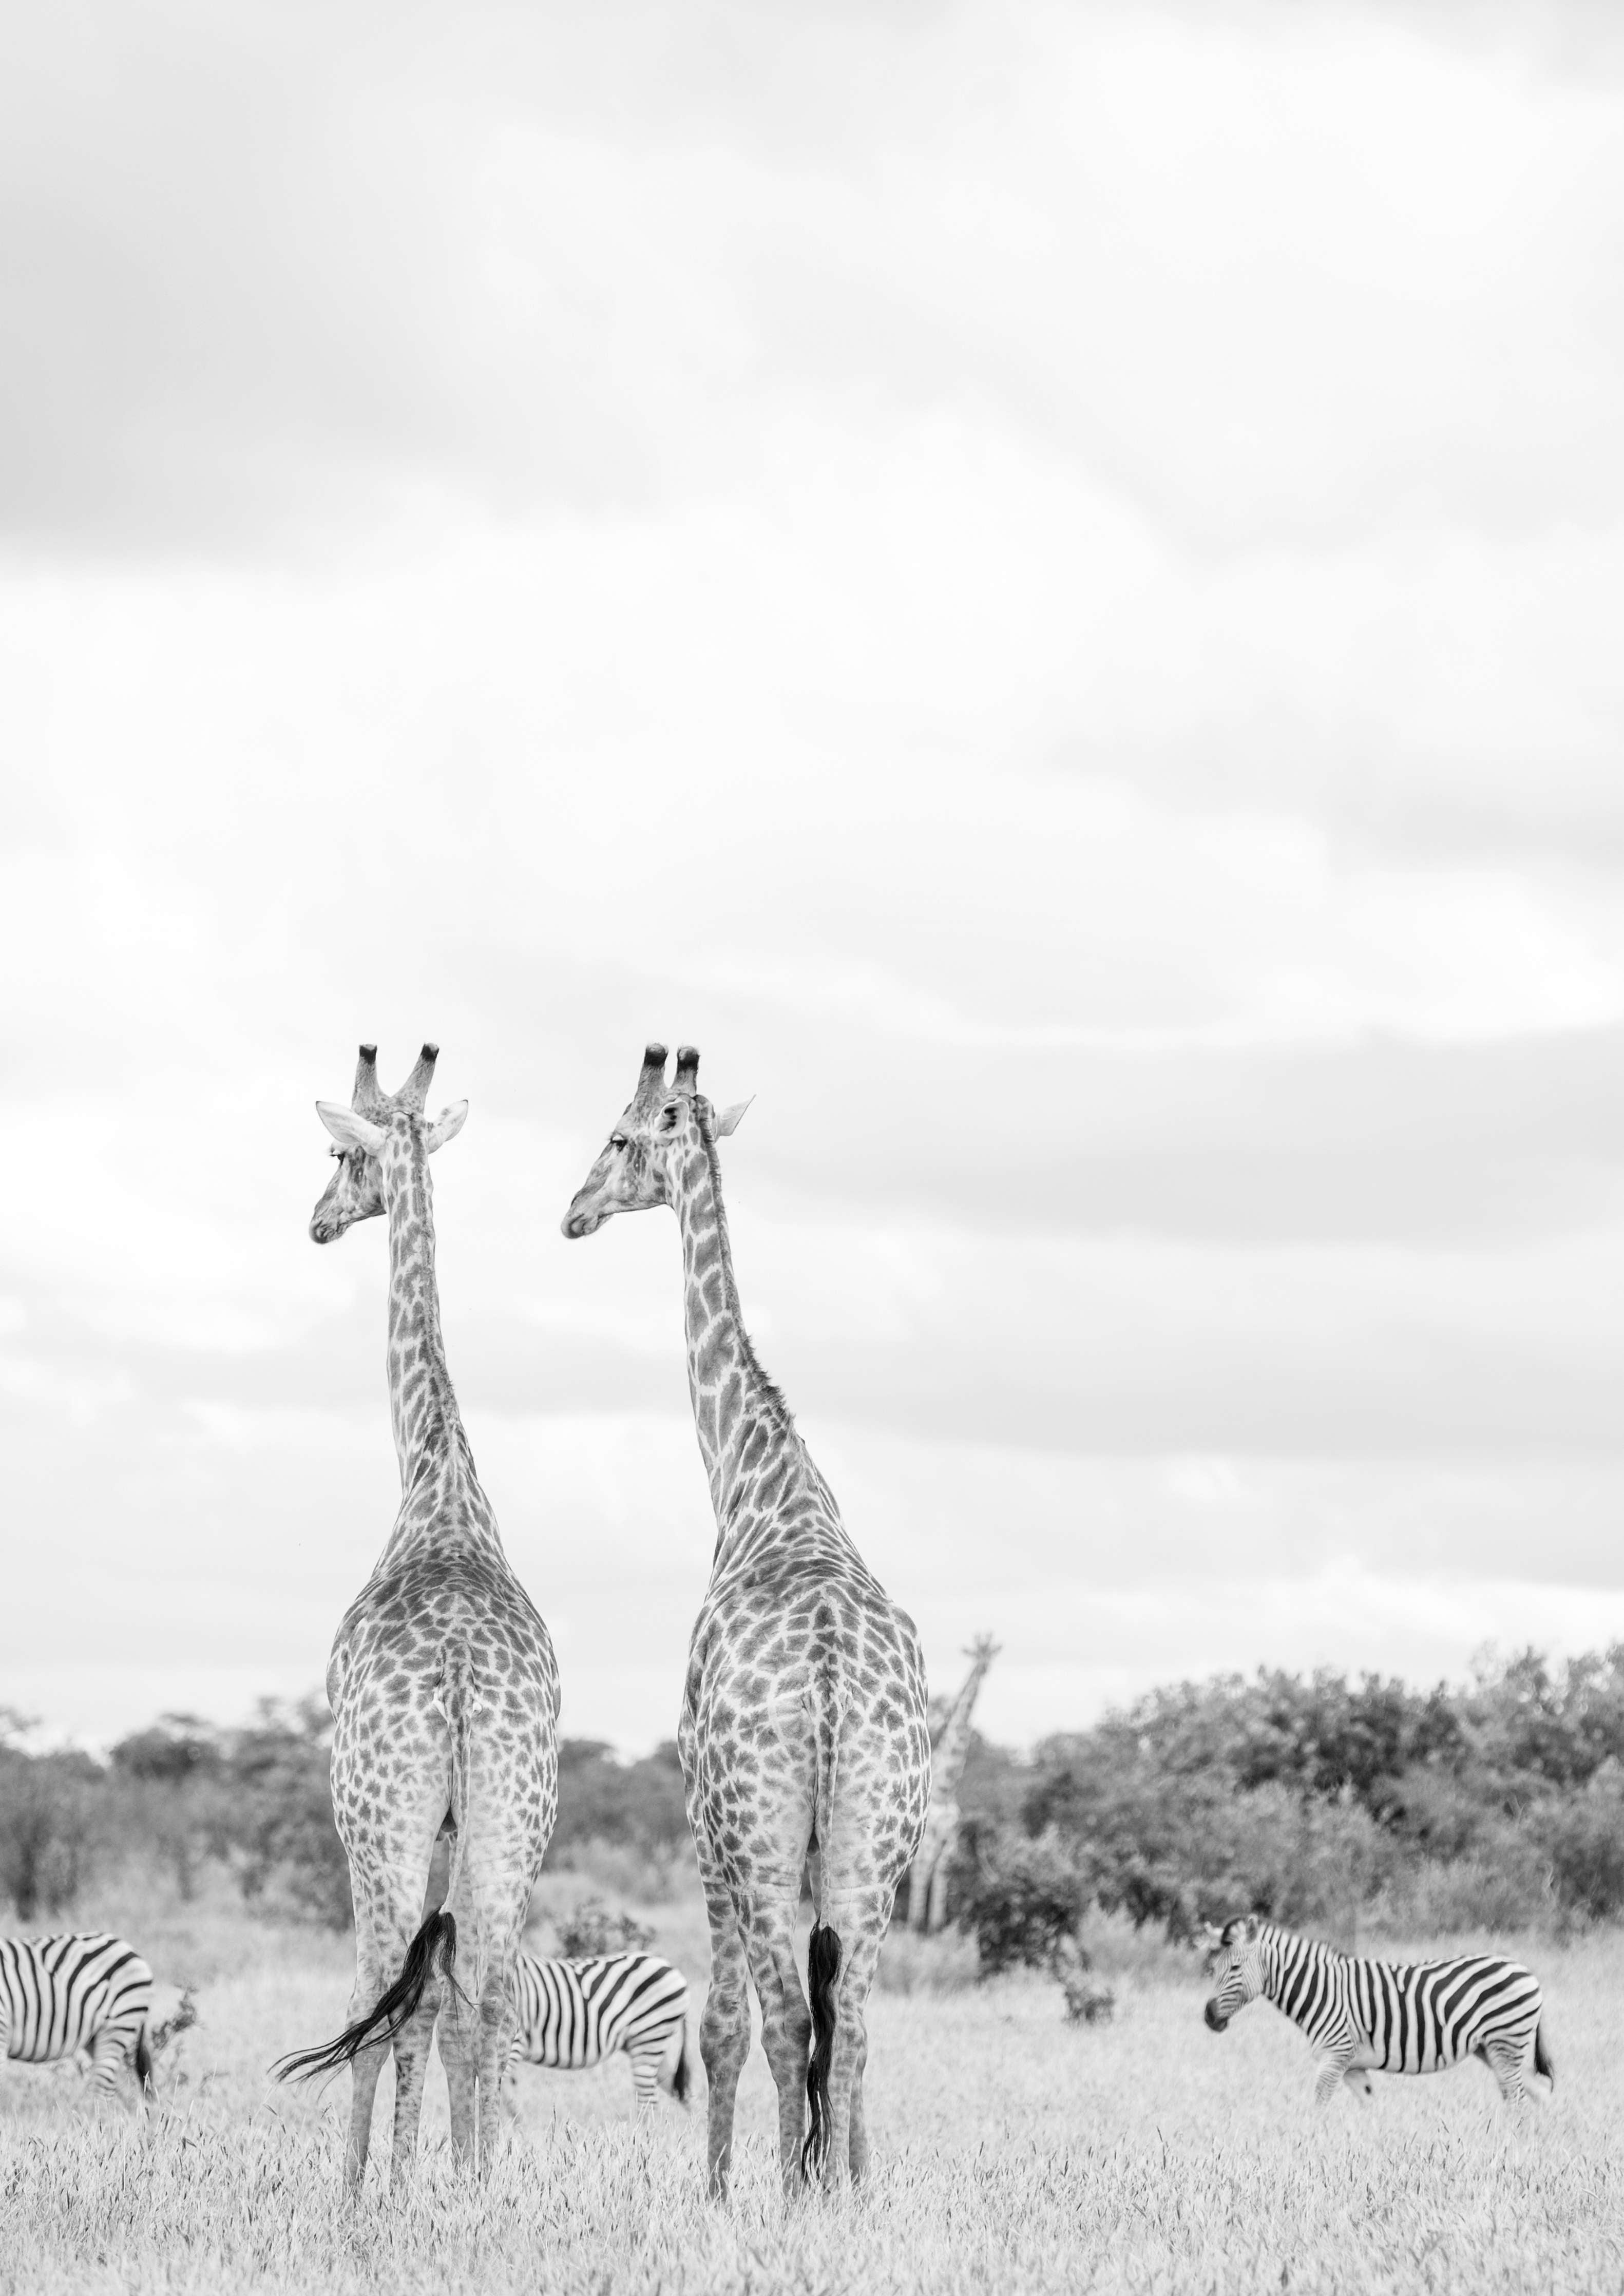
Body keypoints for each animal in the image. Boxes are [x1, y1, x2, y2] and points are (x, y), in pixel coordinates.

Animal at [505, 1950, 690, 2115]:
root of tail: (671, 1967)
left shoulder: (515, 2041)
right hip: (648, 2041)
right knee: (680, 2092)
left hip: (649, 2036)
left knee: (648, 2103)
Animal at [1201, 1915, 1555, 2107]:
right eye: (1212, 1969)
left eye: (1235, 1968)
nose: (1209, 2018)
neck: (1321, 1989)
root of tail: (1526, 1970)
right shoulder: (1353, 2067)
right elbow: (1370, 2107)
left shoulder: (1335, 2056)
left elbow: (1317, 2107)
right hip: (1493, 2048)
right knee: (1535, 2095)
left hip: (1506, 2042)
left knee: (1519, 2100)